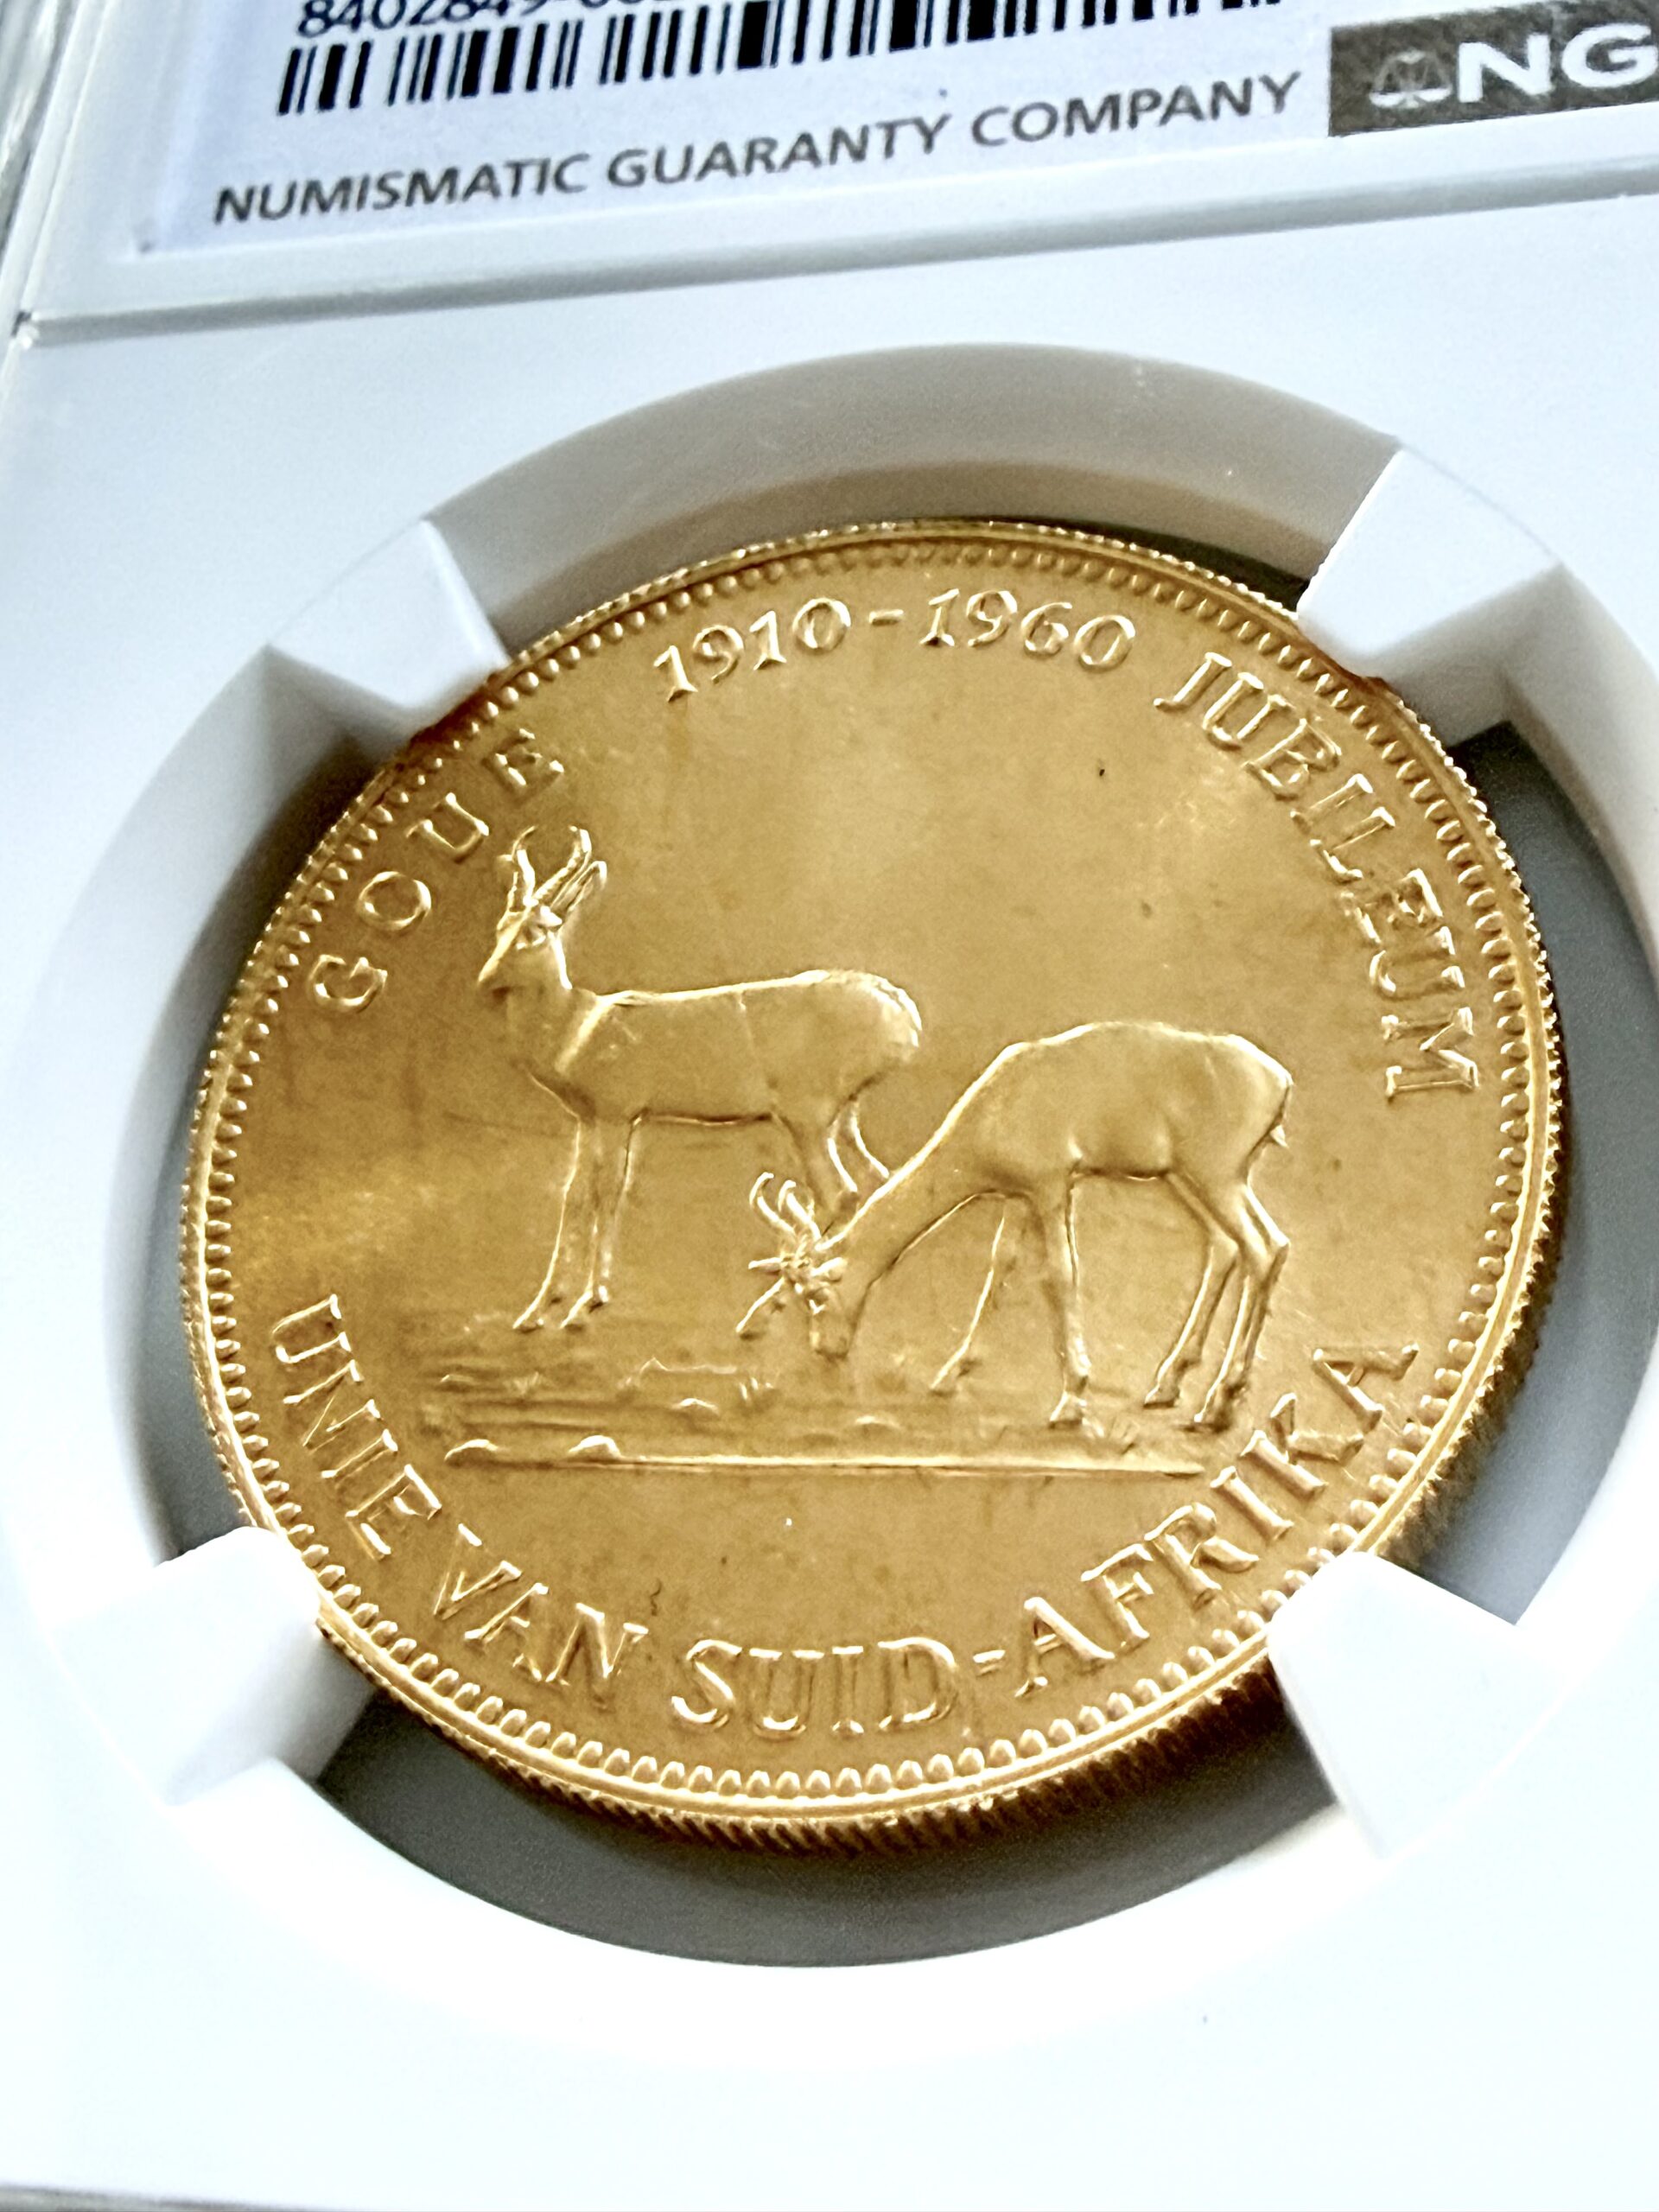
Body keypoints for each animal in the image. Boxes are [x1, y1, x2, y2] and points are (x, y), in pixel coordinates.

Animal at [478, 827, 922, 1333]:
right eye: (501, 928)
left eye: (535, 931)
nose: (486, 981)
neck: (578, 1025)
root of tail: (901, 1010)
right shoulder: (586, 1120)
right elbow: (573, 1195)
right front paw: (537, 1307)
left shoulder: (617, 1115)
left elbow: (608, 1192)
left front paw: (587, 1301)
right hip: (840, 1120)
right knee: (877, 1182)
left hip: (806, 1120)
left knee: (839, 1194)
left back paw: (762, 1313)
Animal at [744, 1019, 1291, 1431]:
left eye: (817, 1296)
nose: (826, 1348)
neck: (1003, 1099)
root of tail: (1278, 1079)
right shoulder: (1018, 1196)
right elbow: (1000, 1262)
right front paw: (950, 1373)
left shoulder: (1052, 1187)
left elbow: (1061, 1275)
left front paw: (1072, 1398)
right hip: (1187, 1178)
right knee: (1226, 1247)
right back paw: (1167, 1384)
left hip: (1216, 1176)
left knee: (1268, 1248)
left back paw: (1218, 1404)